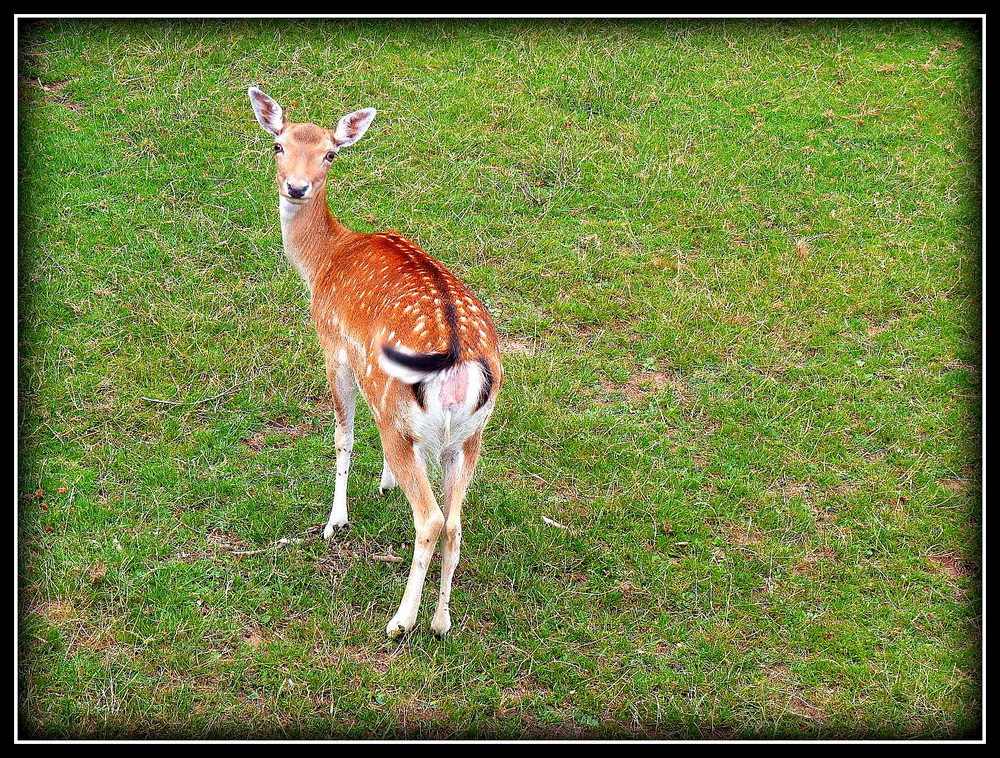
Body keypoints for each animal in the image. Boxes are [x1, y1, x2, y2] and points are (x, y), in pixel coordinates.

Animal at [247, 86, 504, 640]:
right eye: (278, 145)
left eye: (330, 153)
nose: (296, 187)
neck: (322, 260)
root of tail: (461, 370)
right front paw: (385, 481)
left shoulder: (333, 343)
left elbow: (342, 432)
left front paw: (335, 519)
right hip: (470, 435)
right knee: (455, 522)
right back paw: (441, 622)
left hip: (397, 415)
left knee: (430, 519)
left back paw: (401, 621)